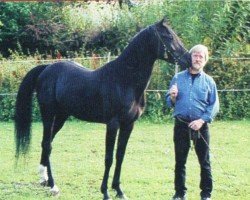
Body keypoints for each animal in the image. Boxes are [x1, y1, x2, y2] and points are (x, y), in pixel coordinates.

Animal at [14, 18, 189, 199]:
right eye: (168, 36)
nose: (188, 60)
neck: (124, 80)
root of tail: (46, 68)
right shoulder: (112, 124)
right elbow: (109, 158)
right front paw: (105, 192)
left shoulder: (128, 125)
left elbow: (120, 156)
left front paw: (118, 190)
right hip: (48, 114)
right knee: (47, 144)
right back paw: (53, 185)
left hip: (61, 117)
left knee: (47, 143)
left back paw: (46, 180)